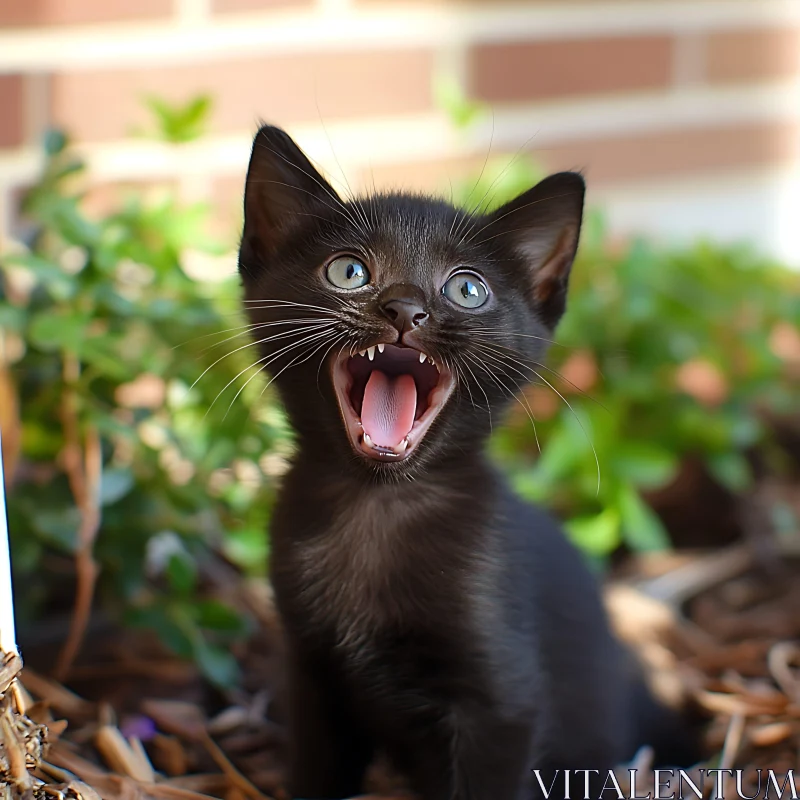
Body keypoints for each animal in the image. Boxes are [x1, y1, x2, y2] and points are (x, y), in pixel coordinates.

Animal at [238, 125, 692, 800]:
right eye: (348, 270)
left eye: (466, 289)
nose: (404, 308)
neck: (378, 505)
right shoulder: (313, 673)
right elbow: (318, 772)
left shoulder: (502, 705)